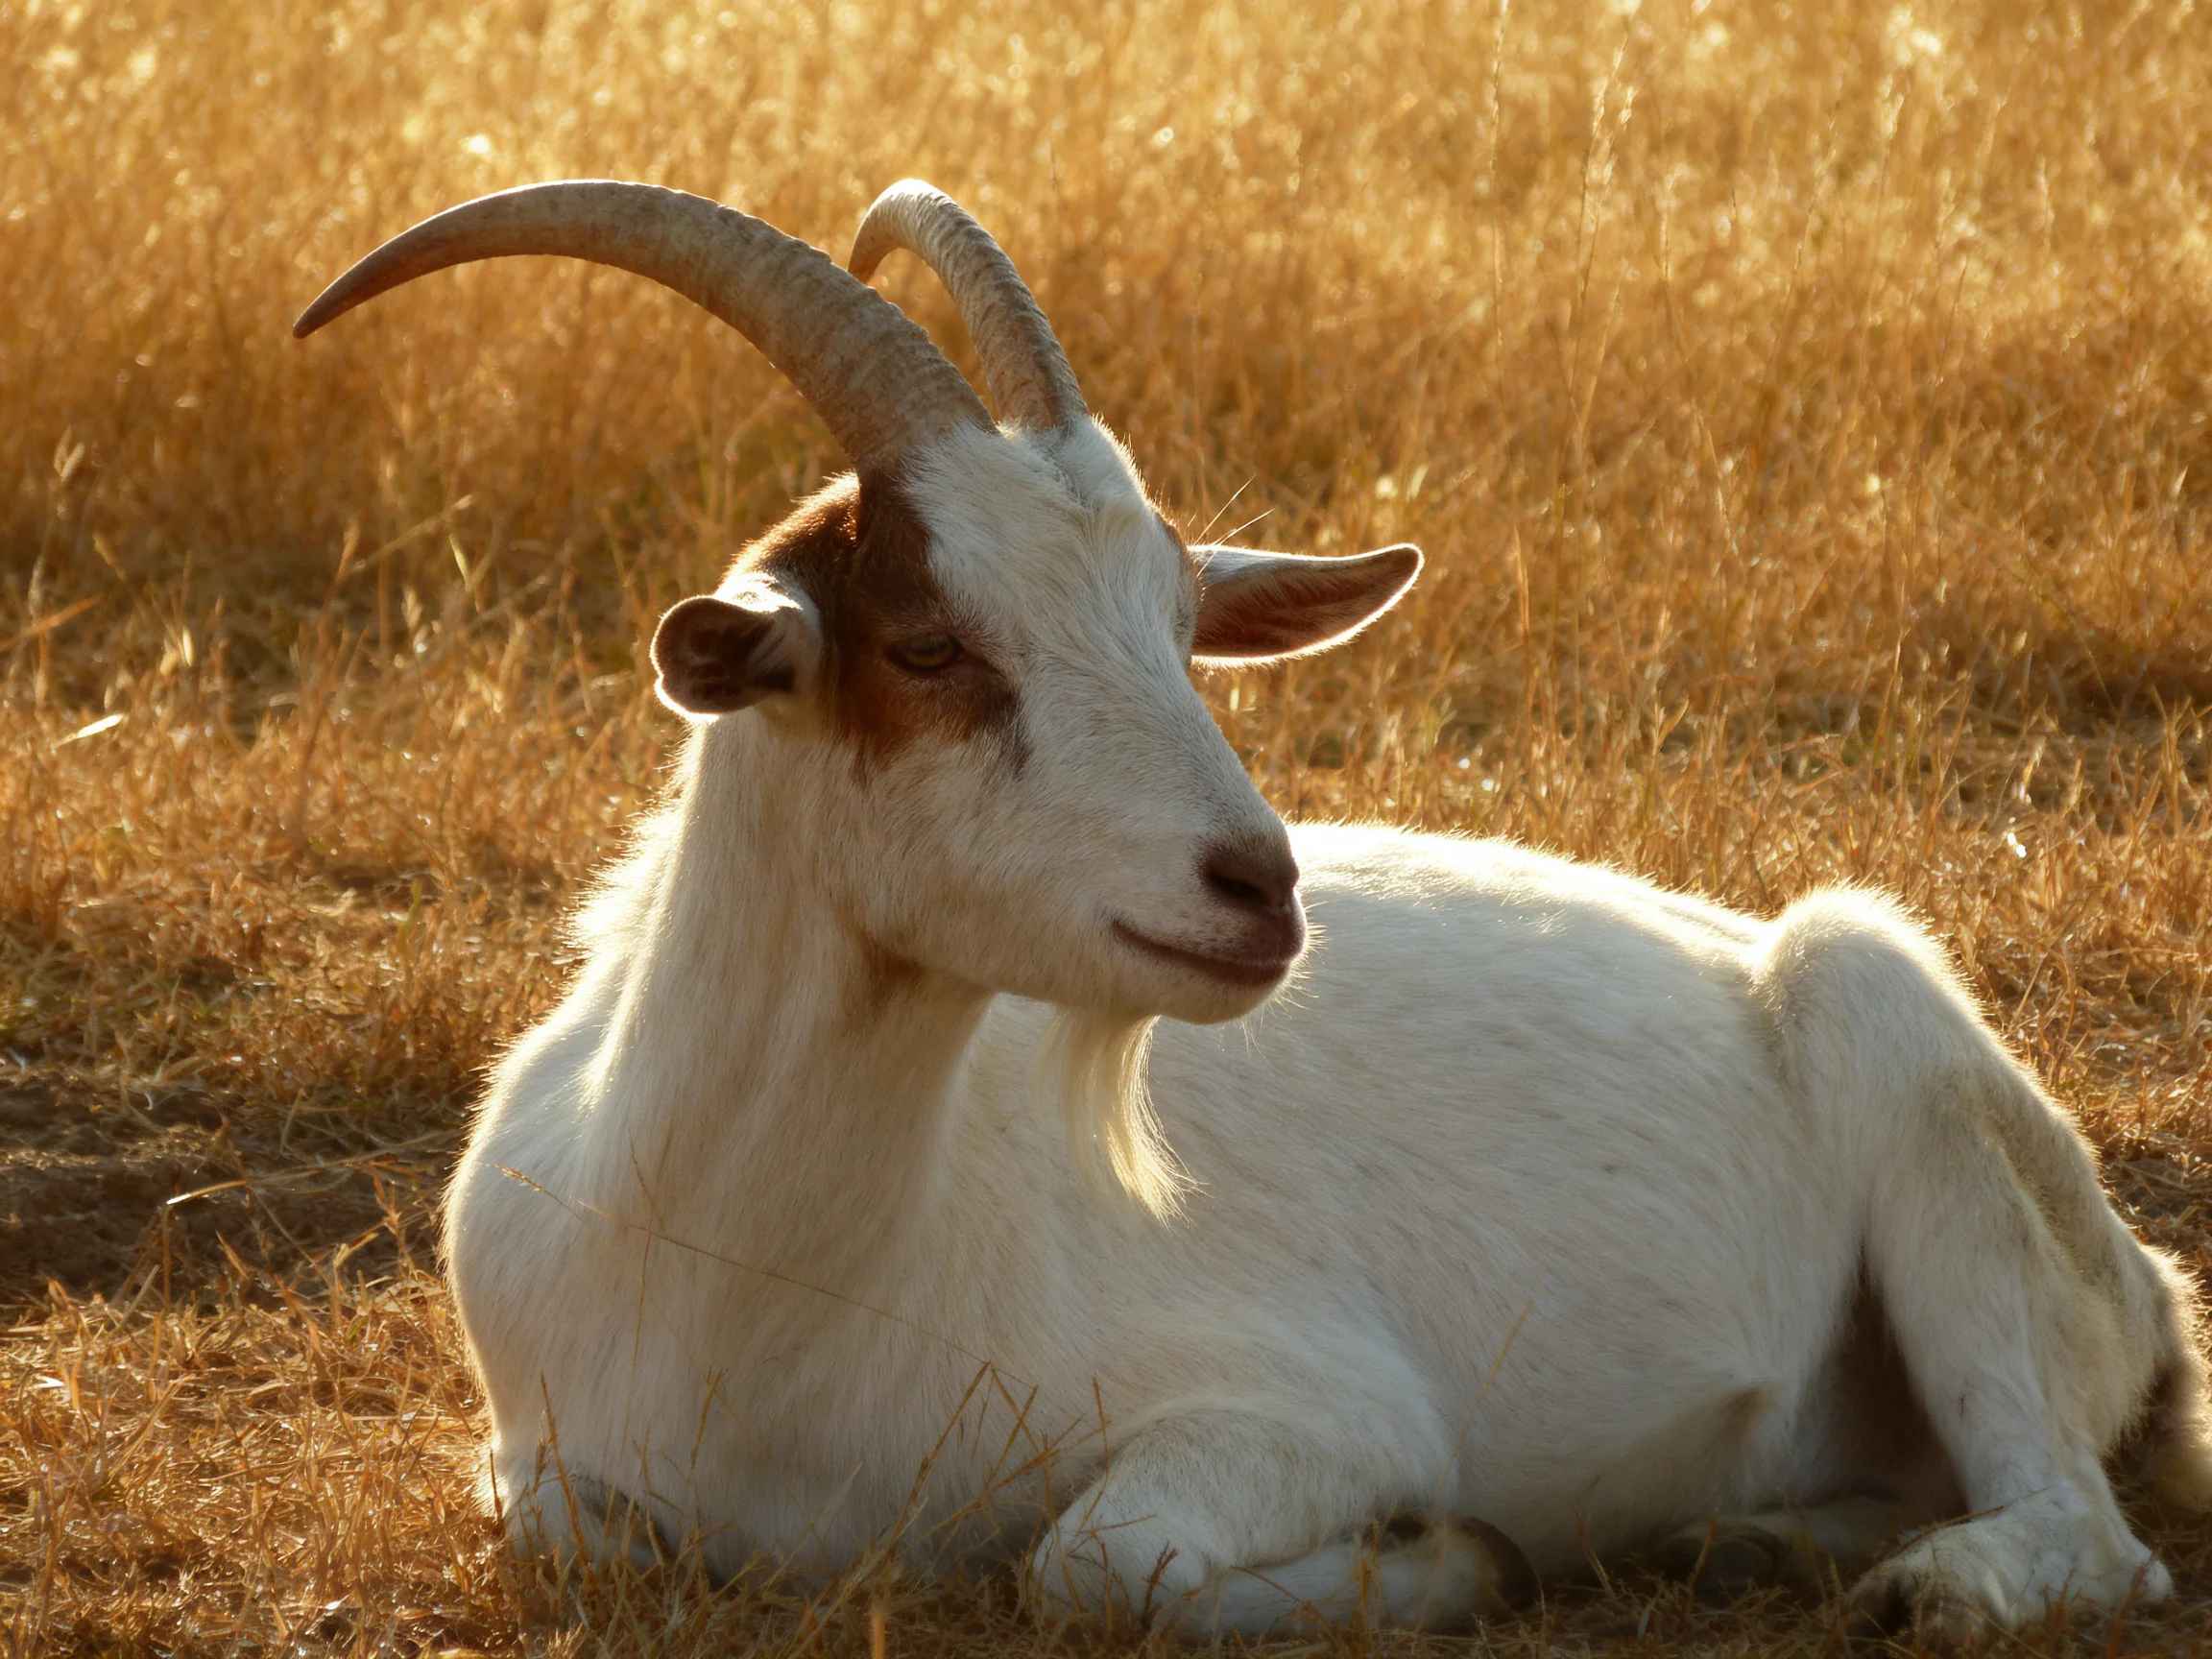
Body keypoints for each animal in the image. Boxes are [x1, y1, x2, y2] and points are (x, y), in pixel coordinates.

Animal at [295, 178, 2212, 1639]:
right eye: (926, 645)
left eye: (1176, 618)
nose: (1259, 886)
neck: (737, 1282)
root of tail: (2148, 1283)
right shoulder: (542, 1458)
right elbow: (573, 1532)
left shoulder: (1309, 1405)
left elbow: (1094, 1560)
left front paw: (1453, 1552)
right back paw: (1740, 1539)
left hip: (1904, 1058)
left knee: (2082, 1532)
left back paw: (1917, 1578)